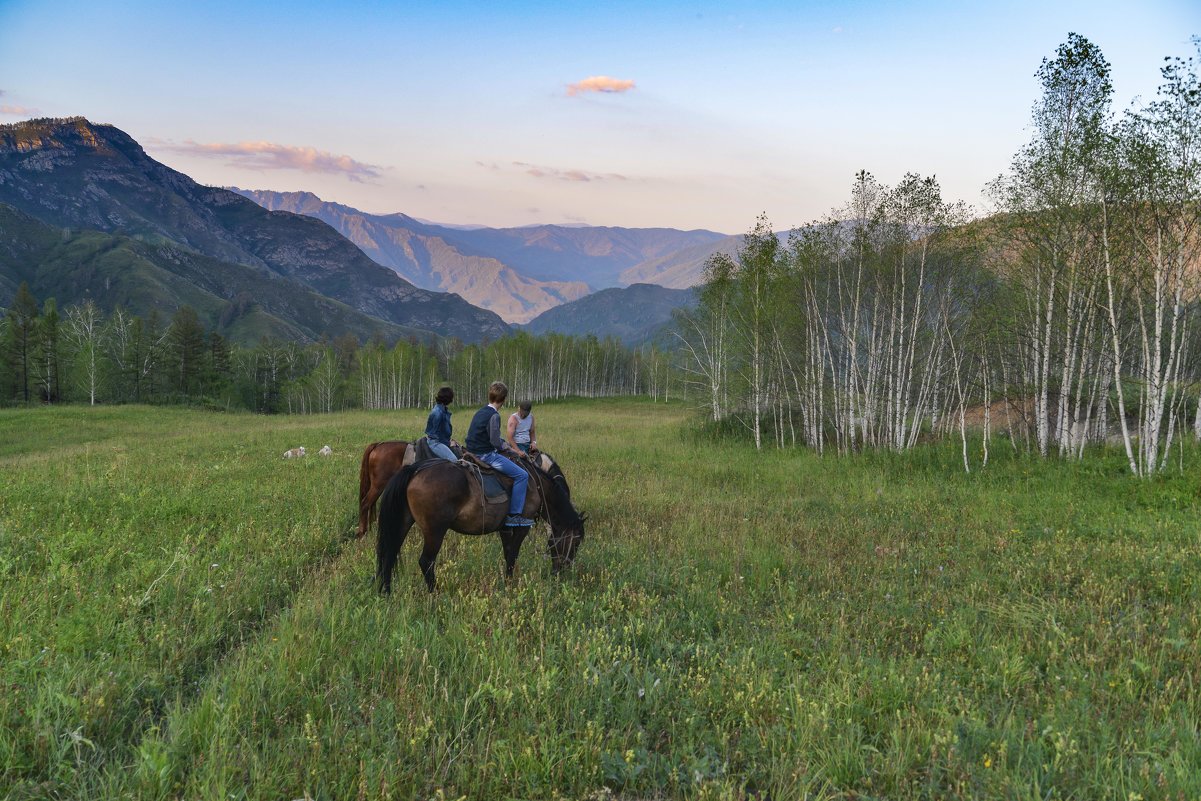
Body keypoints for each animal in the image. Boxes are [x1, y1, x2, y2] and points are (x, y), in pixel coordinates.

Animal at [374, 451, 581, 595]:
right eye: (577, 542)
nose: (563, 570)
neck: (537, 486)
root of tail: (415, 470)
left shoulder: (506, 528)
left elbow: (507, 554)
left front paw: (507, 583)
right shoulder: (522, 526)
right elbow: (513, 555)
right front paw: (510, 586)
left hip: (403, 522)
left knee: (389, 554)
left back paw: (386, 592)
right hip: (435, 530)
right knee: (426, 561)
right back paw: (435, 594)